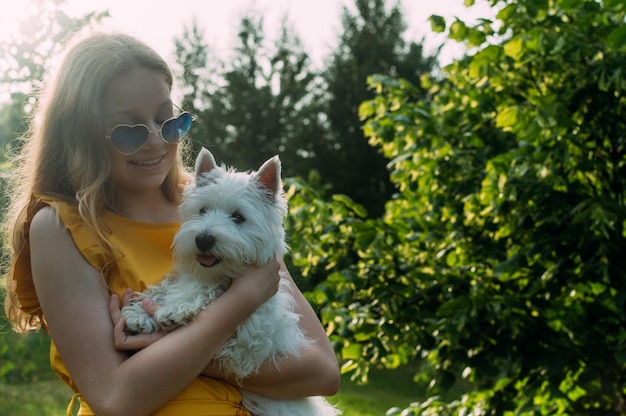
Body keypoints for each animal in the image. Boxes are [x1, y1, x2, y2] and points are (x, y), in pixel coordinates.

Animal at [122, 148, 342, 414]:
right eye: (202, 210)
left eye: (238, 217)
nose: (203, 239)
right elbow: (170, 285)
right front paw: (140, 313)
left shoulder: (248, 343)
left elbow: (209, 291)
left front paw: (175, 309)